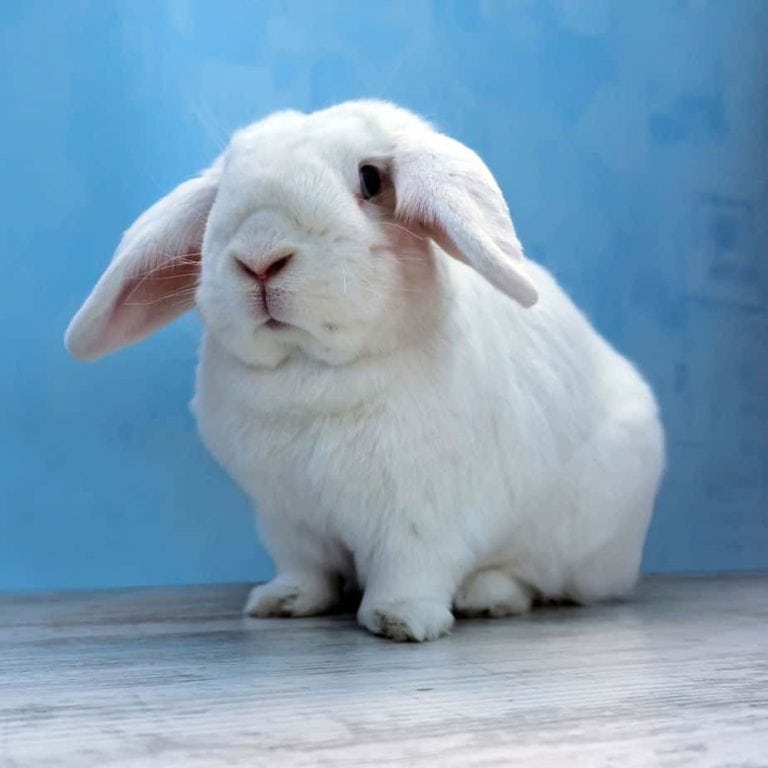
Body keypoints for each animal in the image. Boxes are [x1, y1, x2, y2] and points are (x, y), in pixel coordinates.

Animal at [65, 100, 664, 642]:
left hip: (577, 540)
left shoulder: (423, 519)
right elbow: (306, 569)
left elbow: (411, 572)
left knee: (533, 578)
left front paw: (400, 621)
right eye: (222, 195)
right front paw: (282, 602)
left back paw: (485, 597)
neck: (310, 370)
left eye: (371, 180)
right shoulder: (287, 519)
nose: (259, 258)